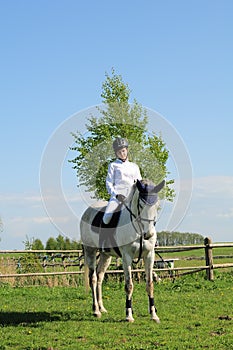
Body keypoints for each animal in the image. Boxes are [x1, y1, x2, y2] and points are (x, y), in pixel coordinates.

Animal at [81, 179, 165, 322]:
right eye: (141, 205)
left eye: (157, 205)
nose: (148, 234)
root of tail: (87, 212)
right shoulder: (127, 257)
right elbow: (129, 285)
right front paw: (129, 315)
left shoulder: (149, 255)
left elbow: (150, 284)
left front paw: (154, 315)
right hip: (90, 251)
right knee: (93, 278)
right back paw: (96, 310)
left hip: (105, 256)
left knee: (100, 277)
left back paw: (102, 308)